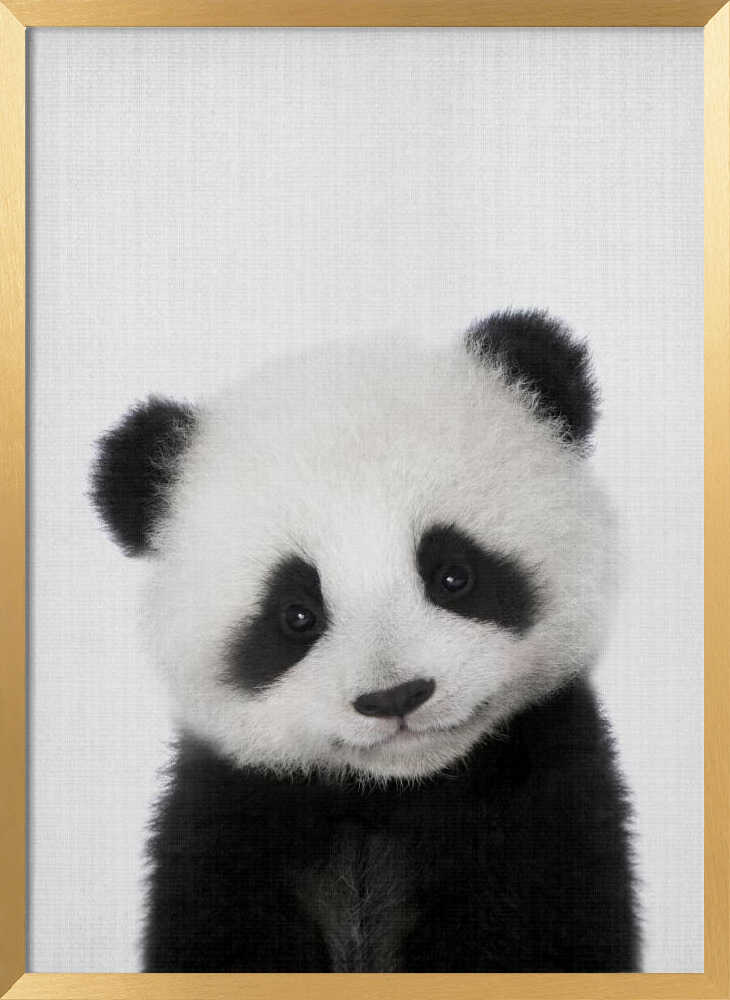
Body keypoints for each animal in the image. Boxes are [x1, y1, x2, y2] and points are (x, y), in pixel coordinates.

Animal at [91, 310, 639, 973]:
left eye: (453, 575)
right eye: (297, 614)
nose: (395, 697)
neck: (390, 795)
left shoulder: (544, 803)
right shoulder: (230, 822)